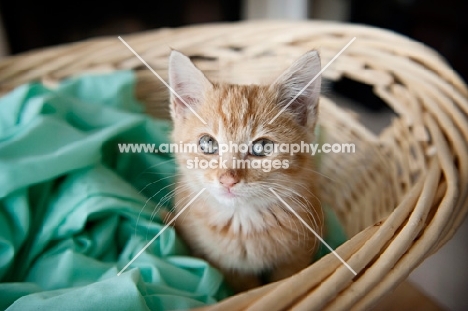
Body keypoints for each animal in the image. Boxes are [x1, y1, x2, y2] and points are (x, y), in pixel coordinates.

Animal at [166, 49, 324, 292]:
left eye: (262, 147)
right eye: (207, 143)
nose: (227, 180)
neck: (242, 222)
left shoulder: (299, 254)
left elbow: (287, 281)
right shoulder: (226, 266)